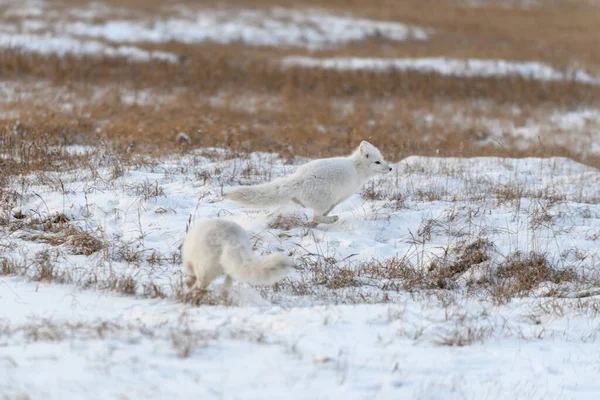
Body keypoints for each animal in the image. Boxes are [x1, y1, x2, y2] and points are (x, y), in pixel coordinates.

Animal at [223, 141, 392, 225]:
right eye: (377, 162)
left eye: (382, 159)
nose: (390, 168)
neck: (356, 169)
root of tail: (297, 179)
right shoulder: (339, 198)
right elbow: (329, 209)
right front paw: (329, 216)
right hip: (325, 199)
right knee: (316, 217)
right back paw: (331, 220)